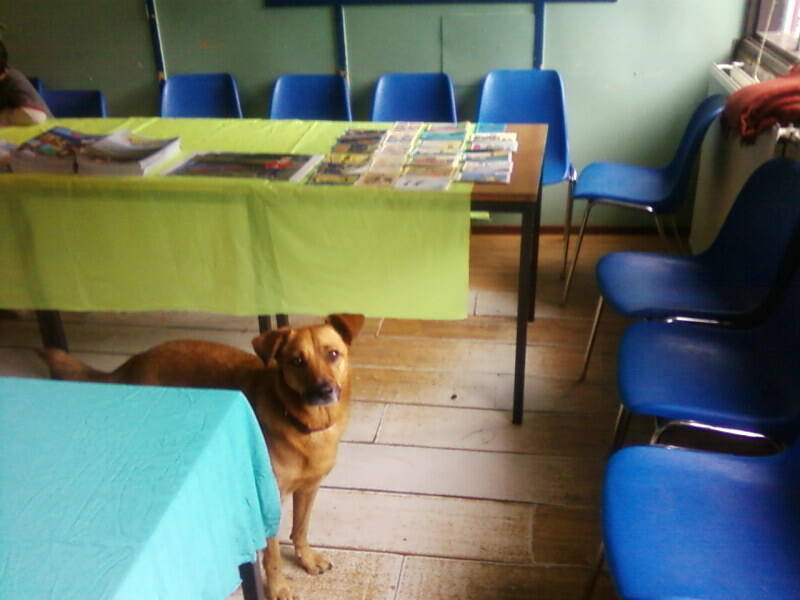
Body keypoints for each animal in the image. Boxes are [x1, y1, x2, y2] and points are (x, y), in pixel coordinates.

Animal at [39, 313, 365, 600]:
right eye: (297, 361)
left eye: (333, 354)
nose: (324, 391)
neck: (305, 425)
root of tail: (135, 361)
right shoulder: (268, 500)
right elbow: (271, 555)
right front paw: (278, 588)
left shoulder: (309, 489)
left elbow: (301, 529)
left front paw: (306, 559)